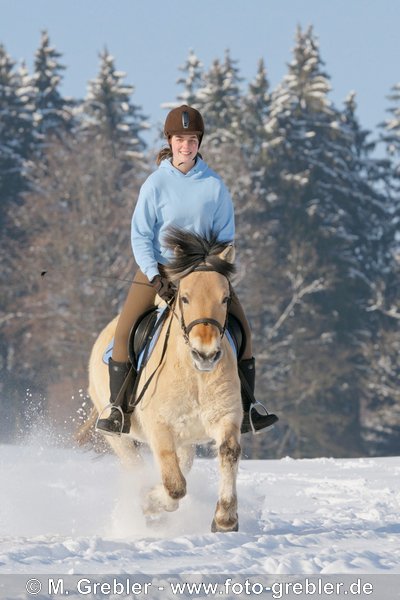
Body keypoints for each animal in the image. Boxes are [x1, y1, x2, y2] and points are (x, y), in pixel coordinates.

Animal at [86, 227, 242, 532]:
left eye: (225, 298)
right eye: (185, 298)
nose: (205, 354)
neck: (194, 376)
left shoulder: (226, 416)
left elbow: (228, 453)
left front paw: (225, 518)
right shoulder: (160, 428)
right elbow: (175, 485)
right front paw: (150, 503)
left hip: (187, 439)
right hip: (117, 435)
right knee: (135, 466)